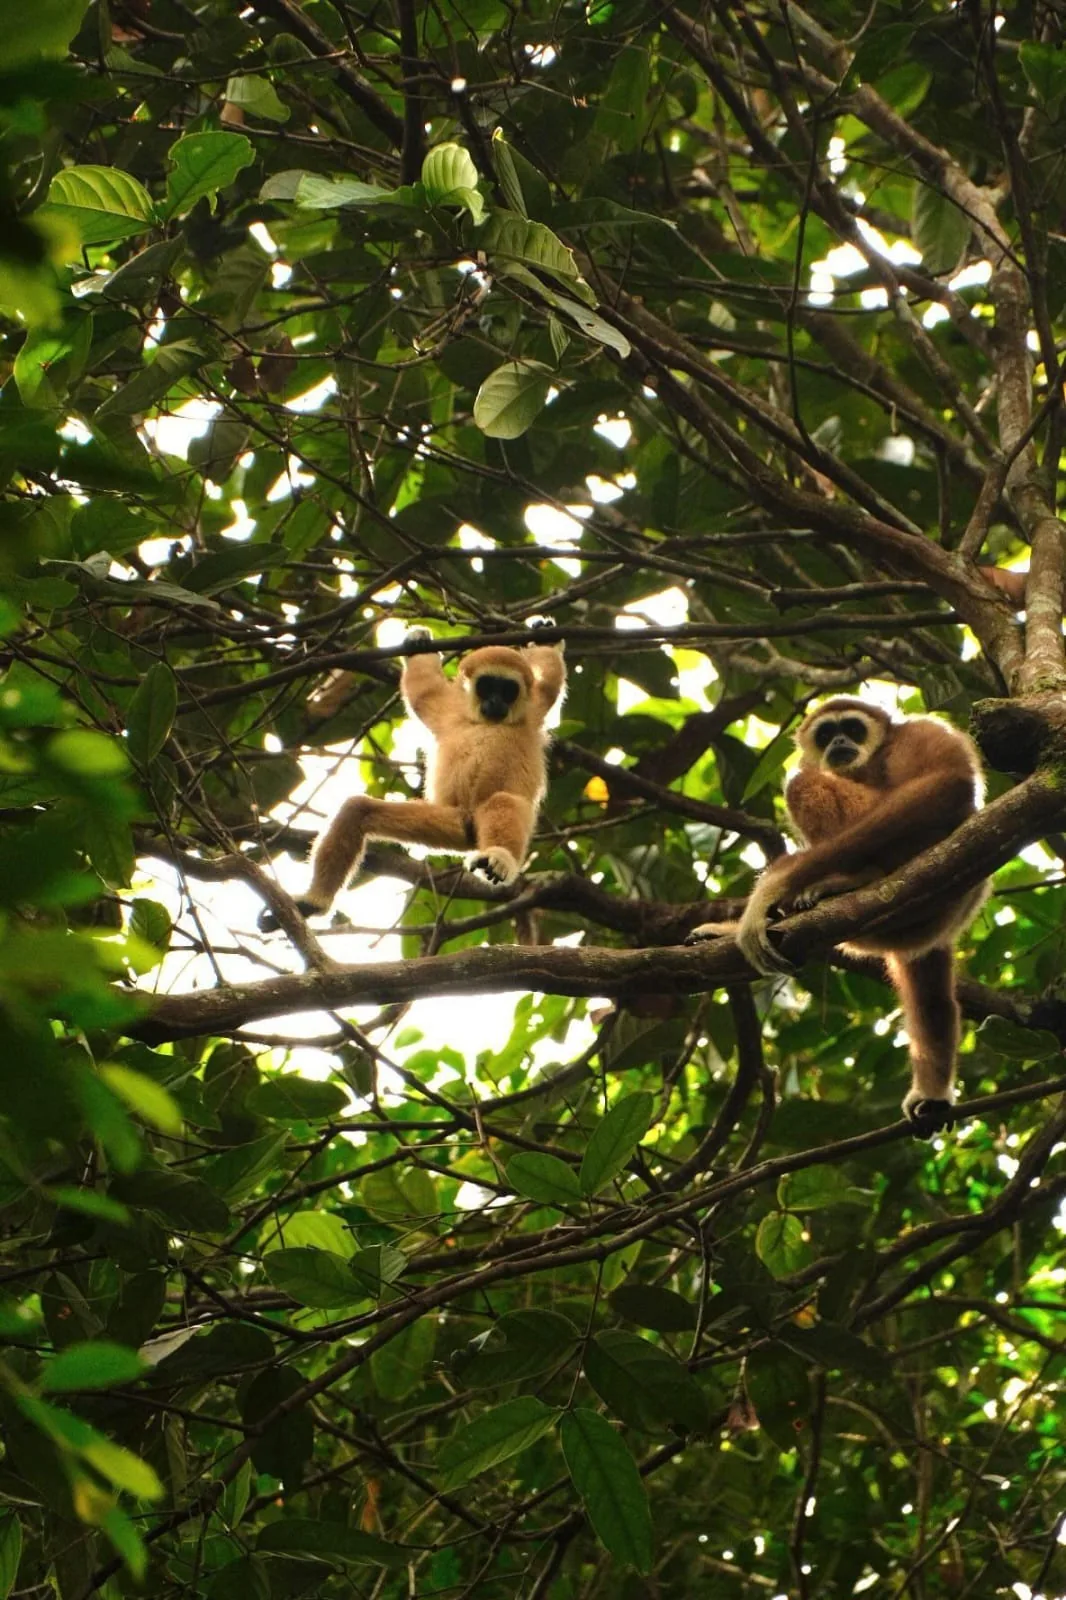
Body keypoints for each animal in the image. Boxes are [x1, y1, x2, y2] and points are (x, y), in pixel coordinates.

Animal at [258, 625, 566, 930]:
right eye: (488, 686)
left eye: (508, 690)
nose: (496, 701)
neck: (484, 720)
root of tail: (470, 826)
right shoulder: (447, 711)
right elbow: (423, 691)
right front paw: (418, 644)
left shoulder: (533, 711)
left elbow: (550, 683)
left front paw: (547, 642)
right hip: (449, 821)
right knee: (358, 810)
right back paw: (314, 902)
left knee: (503, 801)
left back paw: (498, 857)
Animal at [688, 698, 989, 1134]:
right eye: (827, 733)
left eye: (852, 728)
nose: (840, 742)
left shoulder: (921, 731)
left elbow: (945, 784)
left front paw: (772, 889)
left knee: (801, 783)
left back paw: (851, 878)